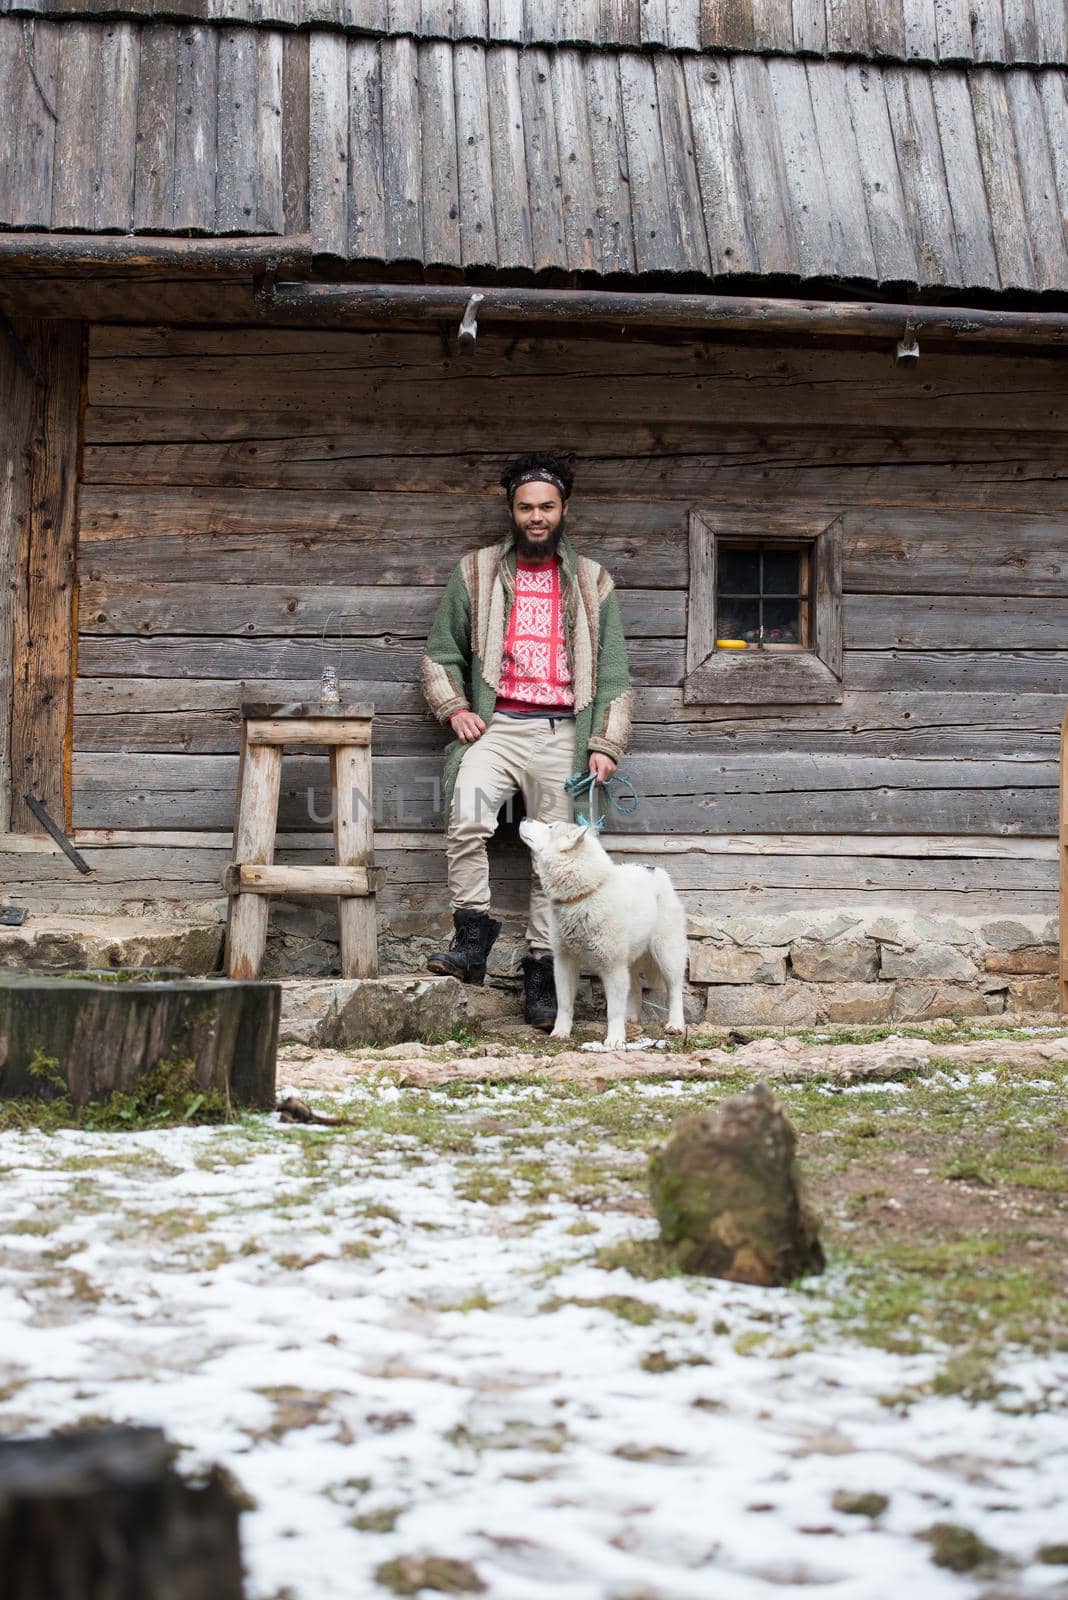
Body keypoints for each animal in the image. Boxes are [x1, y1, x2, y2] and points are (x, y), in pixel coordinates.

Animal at [518, 825, 687, 1049]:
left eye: (550, 826)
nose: (522, 819)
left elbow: (613, 1011)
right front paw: (560, 1032)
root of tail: (654, 870)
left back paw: (675, 1024)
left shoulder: (612, 967)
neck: (583, 897)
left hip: (666, 954)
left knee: (674, 990)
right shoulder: (564, 963)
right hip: (630, 960)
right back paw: (629, 1019)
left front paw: (614, 1039)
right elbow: (564, 1004)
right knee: (634, 987)